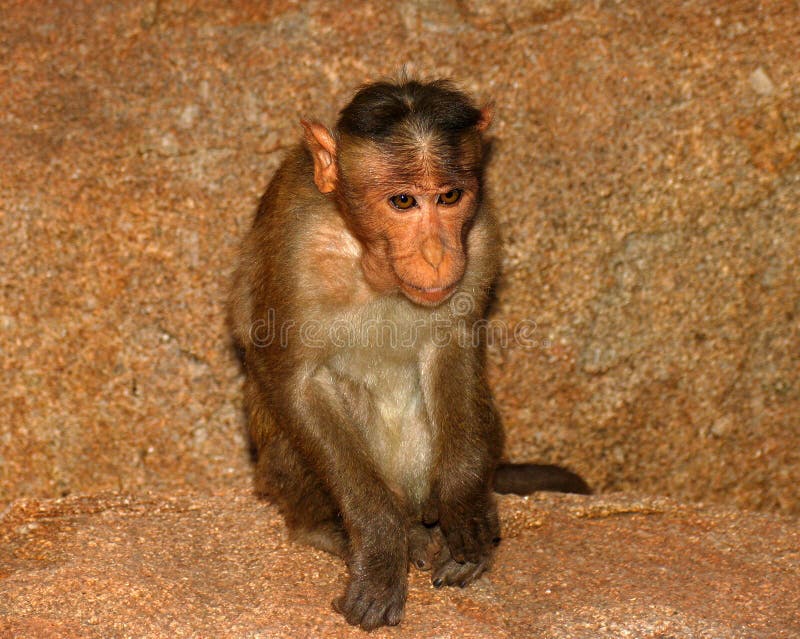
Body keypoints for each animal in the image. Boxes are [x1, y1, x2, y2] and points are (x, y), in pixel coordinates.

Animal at [228, 78, 589, 631]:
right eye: (403, 201)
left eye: (449, 196)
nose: (437, 253)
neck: (373, 266)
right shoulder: (296, 244)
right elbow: (294, 380)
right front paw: (379, 546)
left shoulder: (481, 236)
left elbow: (453, 347)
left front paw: (465, 505)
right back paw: (354, 530)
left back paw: (432, 522)